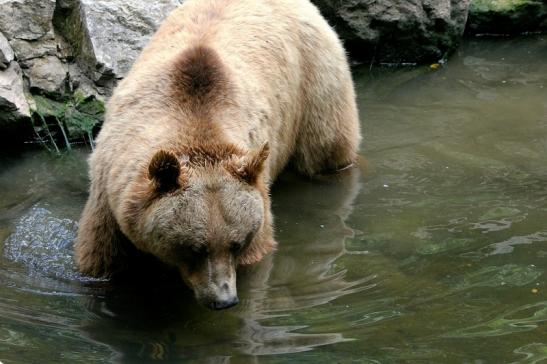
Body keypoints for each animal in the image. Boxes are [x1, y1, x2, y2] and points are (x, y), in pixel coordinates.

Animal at [75, 0, 362, 310]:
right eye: (194, 248)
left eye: (237, 243)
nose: (224, 299)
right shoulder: (110, 197)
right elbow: (103, 262)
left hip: (316, 83)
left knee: (326, 152)